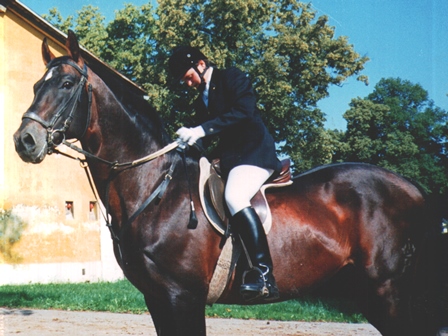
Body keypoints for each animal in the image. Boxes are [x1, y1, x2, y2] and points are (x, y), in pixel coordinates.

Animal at [12, 30, 442, 334]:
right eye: (35, 86)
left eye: (66, 85)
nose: (24, 141)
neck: (154, 190)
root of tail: (414, 189)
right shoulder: (156, 298)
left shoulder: (182, 297)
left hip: (387, 290)